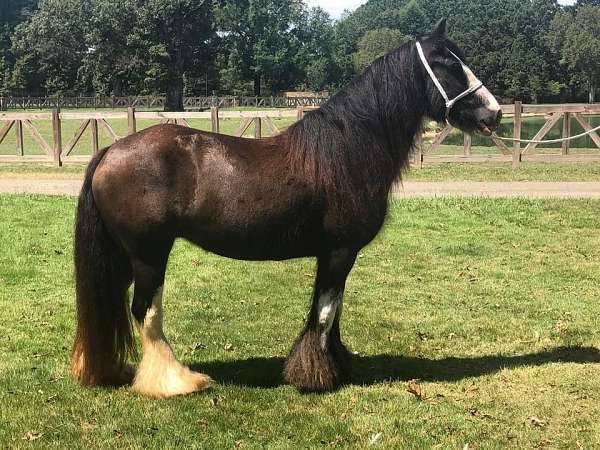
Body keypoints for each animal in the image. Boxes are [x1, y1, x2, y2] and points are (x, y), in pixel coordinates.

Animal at [70, 20, 502, 398]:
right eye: (448, 64)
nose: (493, 113)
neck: (347, 150)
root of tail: (111, 150)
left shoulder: (333, 254)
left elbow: (331, 310)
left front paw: (334, 365)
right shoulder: (340, 251)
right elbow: (325, 313)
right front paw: (313, 377)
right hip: (148, 255)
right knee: (146, 312)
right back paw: (174, 381)